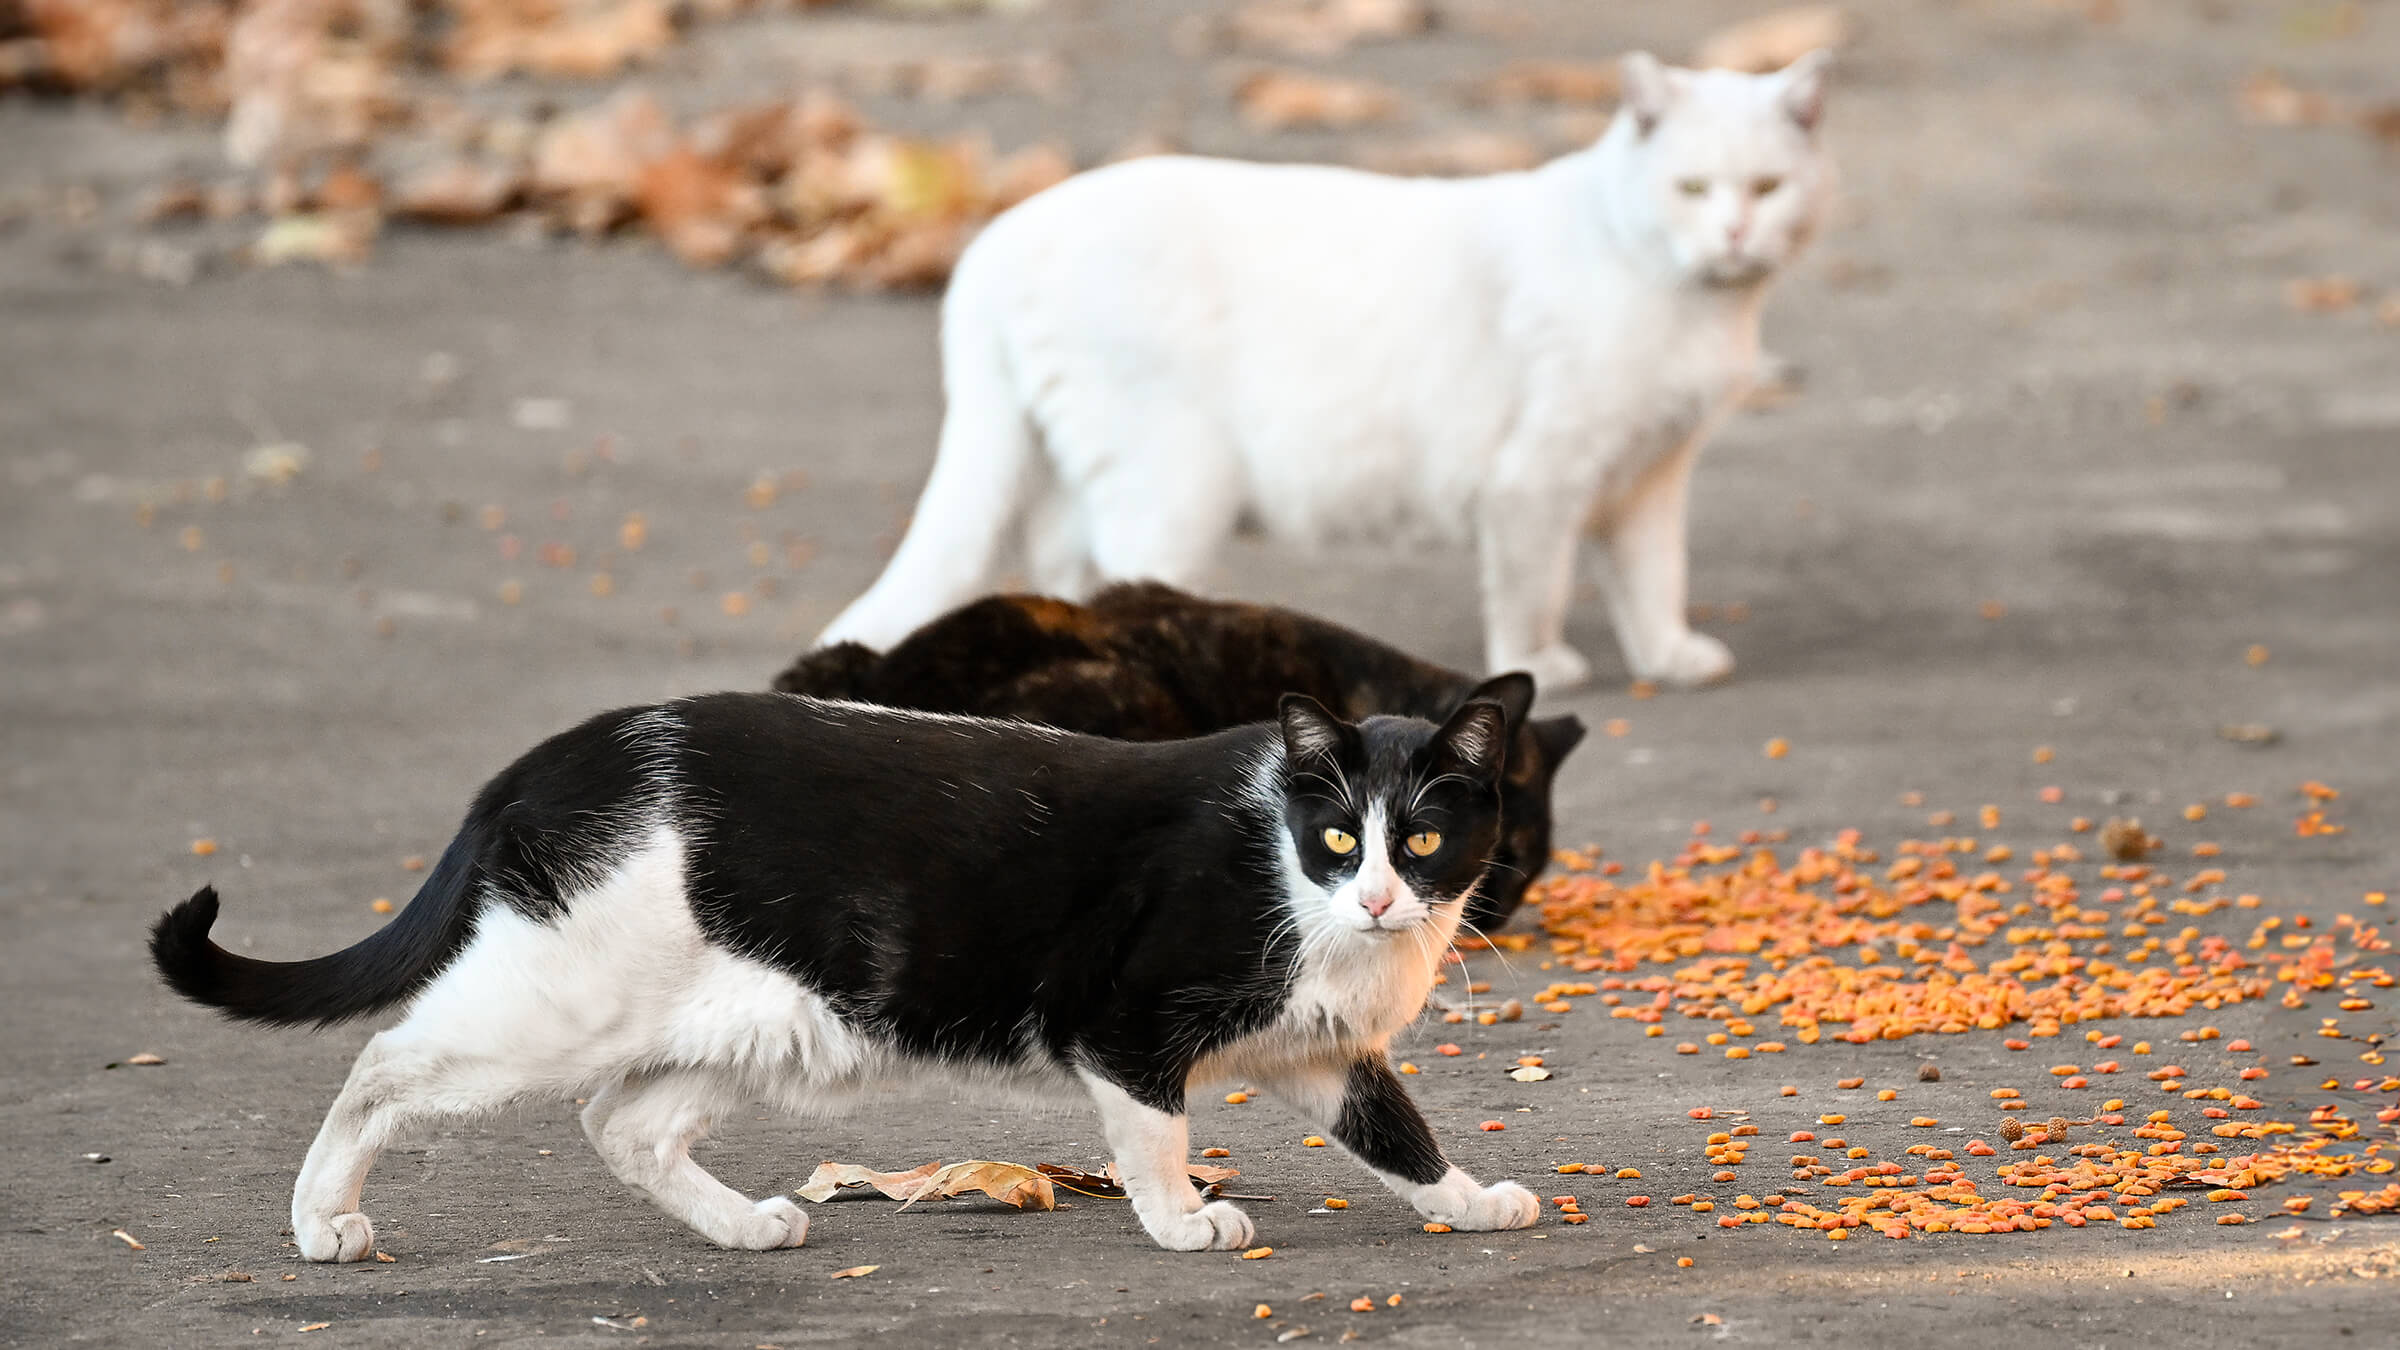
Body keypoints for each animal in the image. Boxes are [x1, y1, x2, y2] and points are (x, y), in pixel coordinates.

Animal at [154, 687, 1536, 1258]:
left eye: (1423, 841)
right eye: (1339, 837)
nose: (1378, 896)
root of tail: (544, 761)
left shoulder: (1326, 1053)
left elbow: (1398, 1133)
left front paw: (1471, 1203)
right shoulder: (1120, 1023)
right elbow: (1152, 1136)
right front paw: (1182, 1218)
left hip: (753, 1019)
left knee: (622, 1124)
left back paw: (746, 1227)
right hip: (560, 996)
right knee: (386, 1062)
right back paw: (319, 1223)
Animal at [816, 48, 1824, 687]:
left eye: (1769, 189)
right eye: (1692, 189)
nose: (1736, 233)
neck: (1696, 303)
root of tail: (999, 234)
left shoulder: (1650, 478)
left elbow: (1656, 580)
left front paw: (1669, 657)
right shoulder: (1536, 482)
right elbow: (1531, 593)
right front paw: (1543, 666)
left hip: (1080, 472)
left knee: (1063, 571)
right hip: (1172, 483)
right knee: (1121, 576)